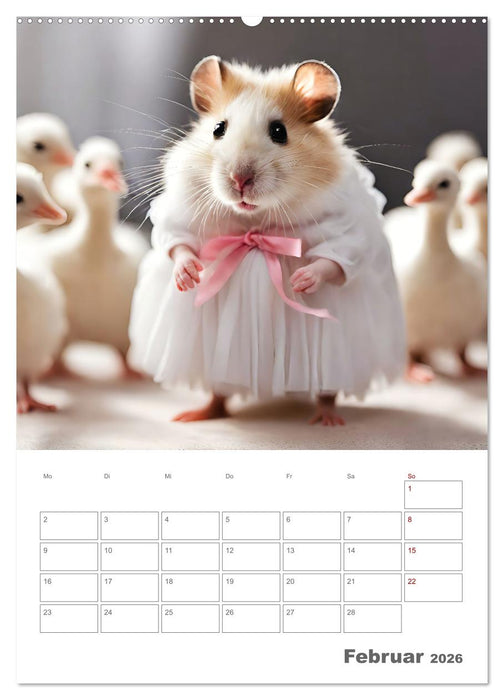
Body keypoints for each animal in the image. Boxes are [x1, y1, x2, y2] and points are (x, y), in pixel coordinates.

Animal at [129, 56, 406, 425]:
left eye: (279, 132)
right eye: (218, 129)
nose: (239, 179)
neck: (255, 222)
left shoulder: (347, 222)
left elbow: (334, 258)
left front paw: (302, 280)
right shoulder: (182, 209)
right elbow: (178, 241)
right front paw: (188, 277)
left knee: (328, 385)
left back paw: (328, 419)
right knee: (220, 387)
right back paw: (196, 414)